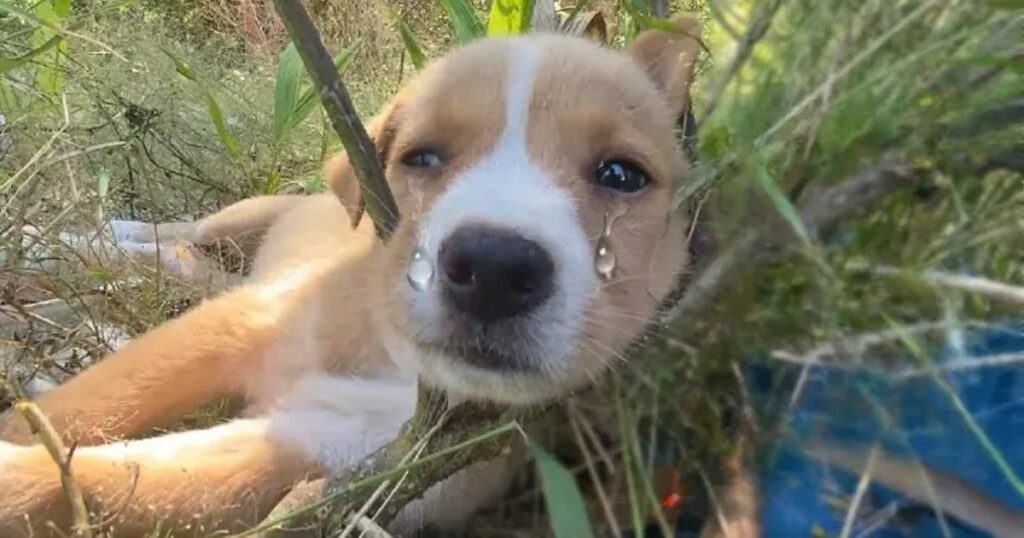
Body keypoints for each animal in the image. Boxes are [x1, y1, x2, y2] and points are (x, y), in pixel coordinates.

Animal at [0, 14, 704, 532]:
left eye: (621, 175)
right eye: (422, 157)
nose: (494, 268)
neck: (398, 369)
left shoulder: (321, 451)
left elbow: (89, 480)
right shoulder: (239, 325)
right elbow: (85, 406)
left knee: (176, 265)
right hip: (241, 221)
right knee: (167, 236)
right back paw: (62, 244)